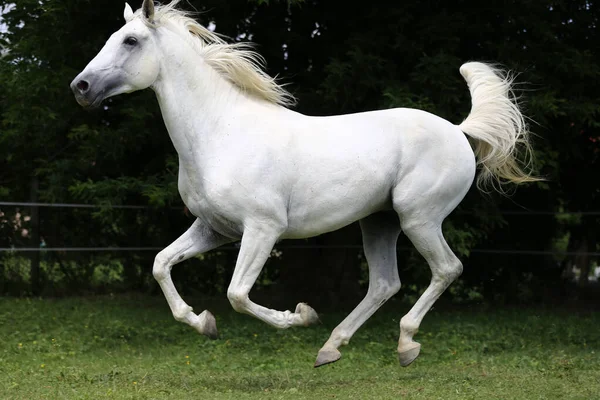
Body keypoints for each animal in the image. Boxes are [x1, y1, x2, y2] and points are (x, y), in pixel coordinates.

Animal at [71, 0, 540, 368]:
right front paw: (204, 323)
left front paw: (300, 316)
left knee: (446, 269)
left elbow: (237, 294)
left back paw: (405, 344)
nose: (81, 87)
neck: (222, 132)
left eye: (131, 41)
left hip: (418, 218)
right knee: (385, 283)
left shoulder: (263, 229)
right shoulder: (215, 229)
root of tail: (459, 131)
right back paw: (331, 348)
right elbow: (160, 264)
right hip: (380, 222)